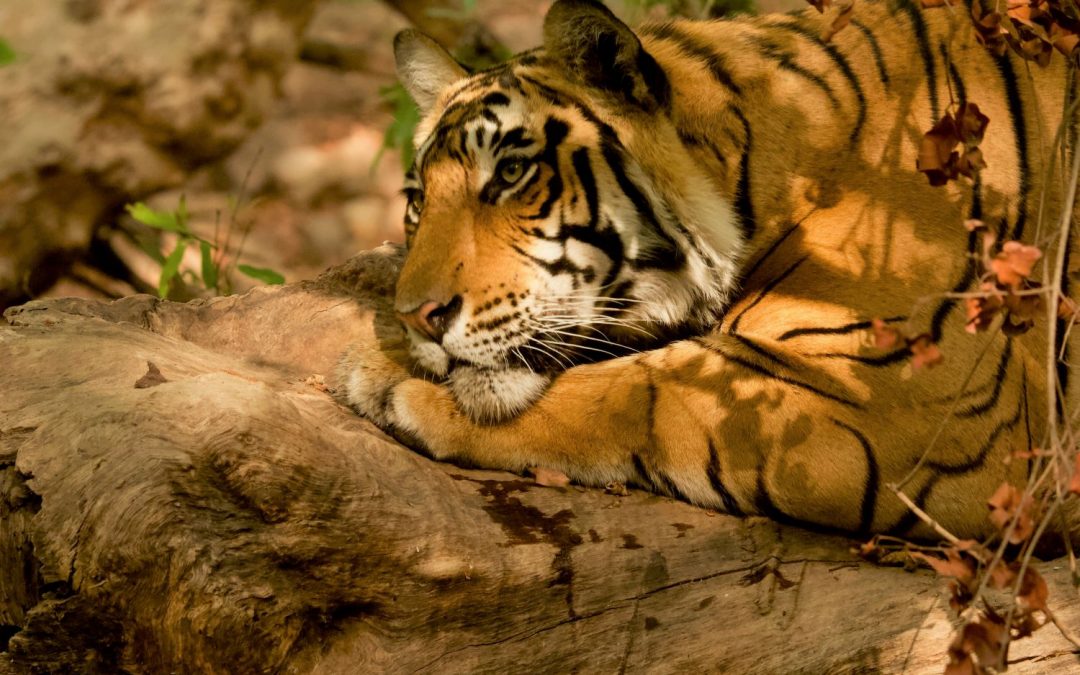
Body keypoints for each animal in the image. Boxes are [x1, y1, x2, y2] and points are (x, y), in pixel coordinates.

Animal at [340, 0, 1079, 541]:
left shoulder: (920, 402)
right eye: (417, 200)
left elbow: (644, 391)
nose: (418, 319)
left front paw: (389, 381)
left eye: (512, 174)